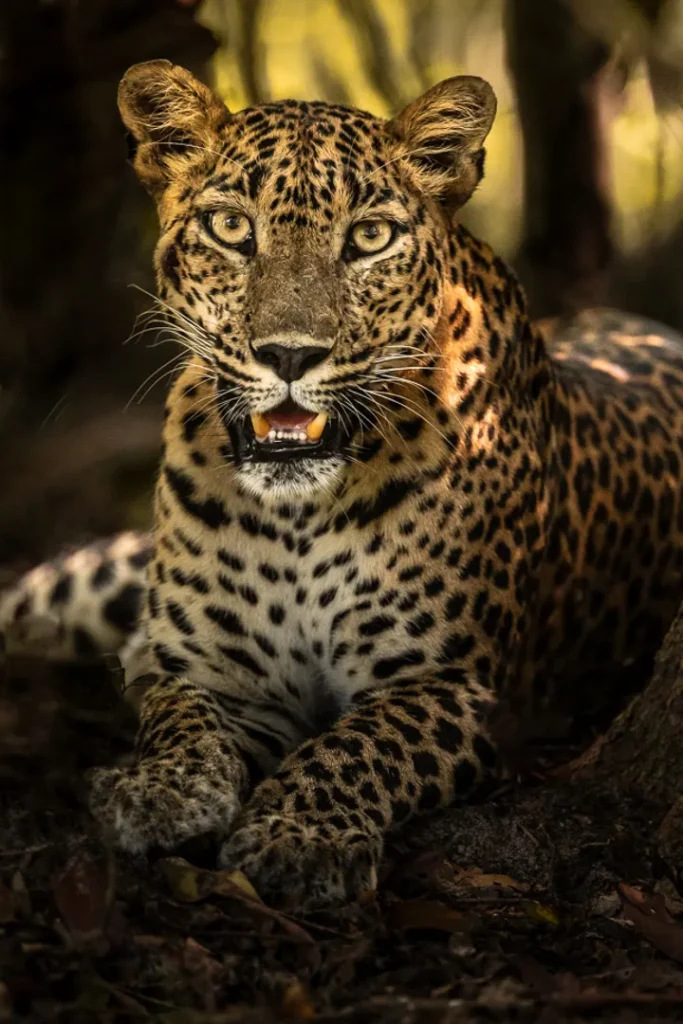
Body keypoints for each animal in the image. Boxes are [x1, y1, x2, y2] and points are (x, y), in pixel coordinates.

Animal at [4, 59, 683, 911]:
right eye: (233, 229)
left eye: (368, 237)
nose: (290, 355)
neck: (295, 513)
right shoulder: (205, 668)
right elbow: (179, 719)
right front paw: (160, 788)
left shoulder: (454, 686)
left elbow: (361, 744)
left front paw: (300, 834)